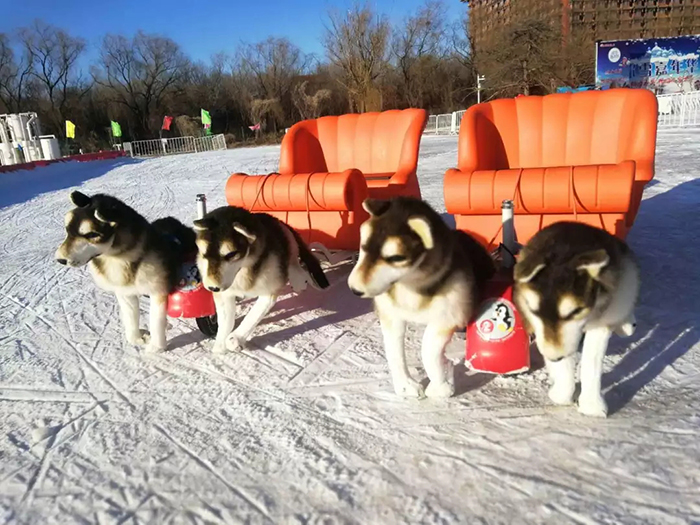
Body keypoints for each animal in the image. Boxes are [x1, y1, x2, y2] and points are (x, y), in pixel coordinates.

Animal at [53, 191, 197, 352]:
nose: (60, 259)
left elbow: (155, 320)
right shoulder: (125, 293)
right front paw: (137, 338)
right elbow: (131, 317)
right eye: (67, 230)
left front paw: (156, 347)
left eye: (92, 235)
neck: (118, 258)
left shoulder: (158, 291)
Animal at [191, 205, 330, 352]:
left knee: (301, 274)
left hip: (293, 267)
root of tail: (281, 223)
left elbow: (252, 317)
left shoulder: (269, 291)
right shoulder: (224, 294)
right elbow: (225, 321)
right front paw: (220, 343)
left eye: (231, 254)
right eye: (204, 253)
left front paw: (235, 338)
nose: (212, 287)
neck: (243, 270)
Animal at [348, 196, 494, 398]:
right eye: (363, 247)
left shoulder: (449, 315)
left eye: (396, 258)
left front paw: (442, 383)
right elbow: (394, 352)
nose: (354, 289)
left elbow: (429, 350)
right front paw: (405, 385)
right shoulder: (391, 316)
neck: (410, 286)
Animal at [516, 222, 640, 418]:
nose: (553, 356)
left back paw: (627, 324)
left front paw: (592, 405)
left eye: (576, 311)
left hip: (627, 281)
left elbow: (591, 363)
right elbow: (564, 369)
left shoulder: (600, 325)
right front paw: (561, 393)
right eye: (534, 310)